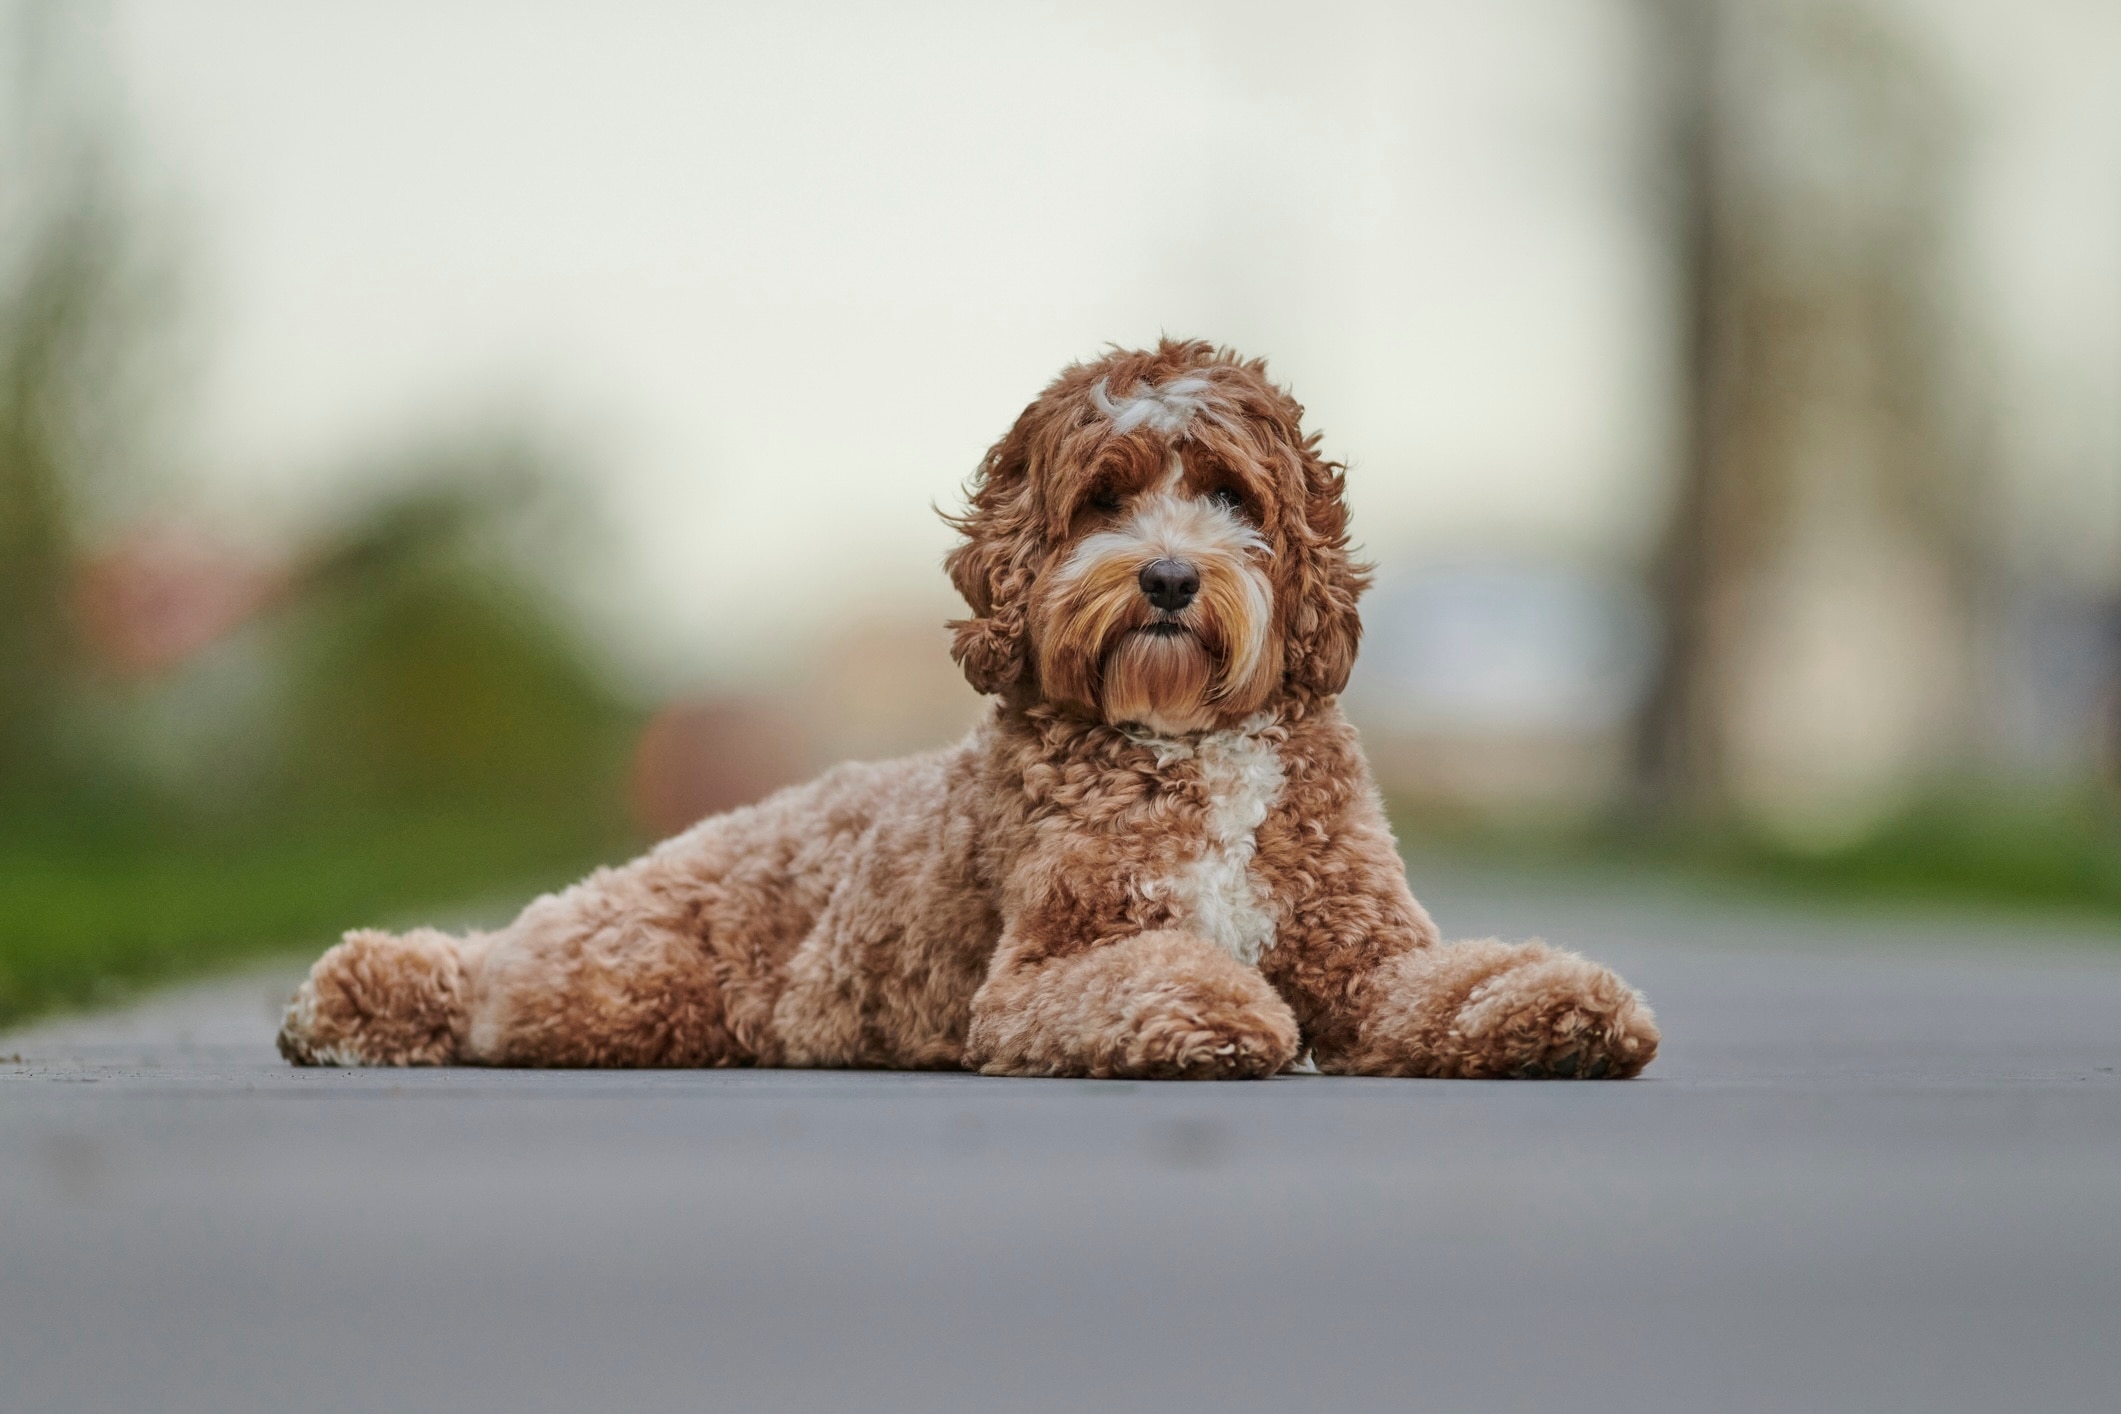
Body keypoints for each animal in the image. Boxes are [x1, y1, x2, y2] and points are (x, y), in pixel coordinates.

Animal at [277, 343, 1654, 1085]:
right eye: (1102, 497)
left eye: (1230, 493)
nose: (1168, 578)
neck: (1186, 741)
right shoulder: (1049, 968)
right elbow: (1155, 971)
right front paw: (1213, 1016)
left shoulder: (1363, 952)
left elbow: (1456, 979)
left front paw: (1561, 1012)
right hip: (616, 982)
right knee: (487, 976)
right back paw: (346, 998)